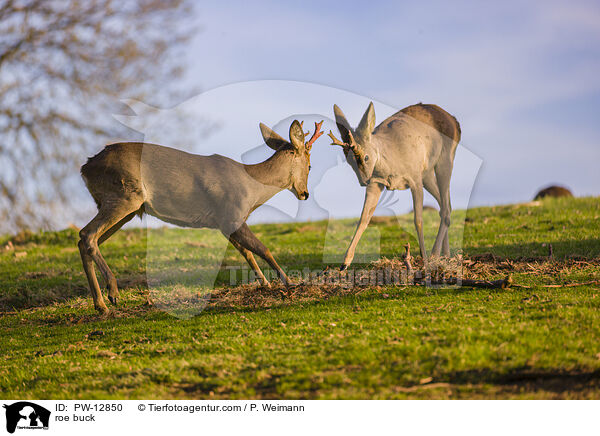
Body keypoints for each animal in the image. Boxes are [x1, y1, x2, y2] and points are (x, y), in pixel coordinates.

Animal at [81, 118, 324, 314]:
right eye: (310, 165)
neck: (253, 188)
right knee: (87, 235)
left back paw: (100, 305)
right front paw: (290, 283)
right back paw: (112, 292)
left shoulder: (225, 224)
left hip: (124, 208)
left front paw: (265, 284)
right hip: (124, 195)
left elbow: (247, 252)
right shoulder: (232, 215)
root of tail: (85, 167)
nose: (305, 193)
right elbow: (263, 249)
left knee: (85, 239)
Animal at [330, 102, 462, 270]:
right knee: (445, 205)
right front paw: (344, 264)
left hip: (444, 162)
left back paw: (434, 255)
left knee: (445, 207)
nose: (363, 181)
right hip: (427, 175)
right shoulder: (376, 184)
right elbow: (364, 219)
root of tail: (454, 121)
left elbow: (418, 220)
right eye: (349, 160)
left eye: (365, 157)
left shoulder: (415, 180)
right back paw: (445, 255)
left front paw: (424, 260)